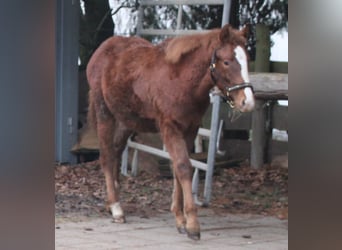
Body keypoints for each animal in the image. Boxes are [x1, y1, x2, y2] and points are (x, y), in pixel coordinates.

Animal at [87, 23, 255, 240]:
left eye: (247, 60)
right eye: (226, 62)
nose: (247, 102)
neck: (181, 80)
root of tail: (100, 50)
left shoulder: (190, 129)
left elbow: (177, 168)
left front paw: (180, 218)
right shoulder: (170, 127)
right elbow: (183, 166)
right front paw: (192, 225)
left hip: (127, 120)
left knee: (116, 151)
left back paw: (111, 202)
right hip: (104, 112)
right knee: (107, 155)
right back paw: (116, 208)